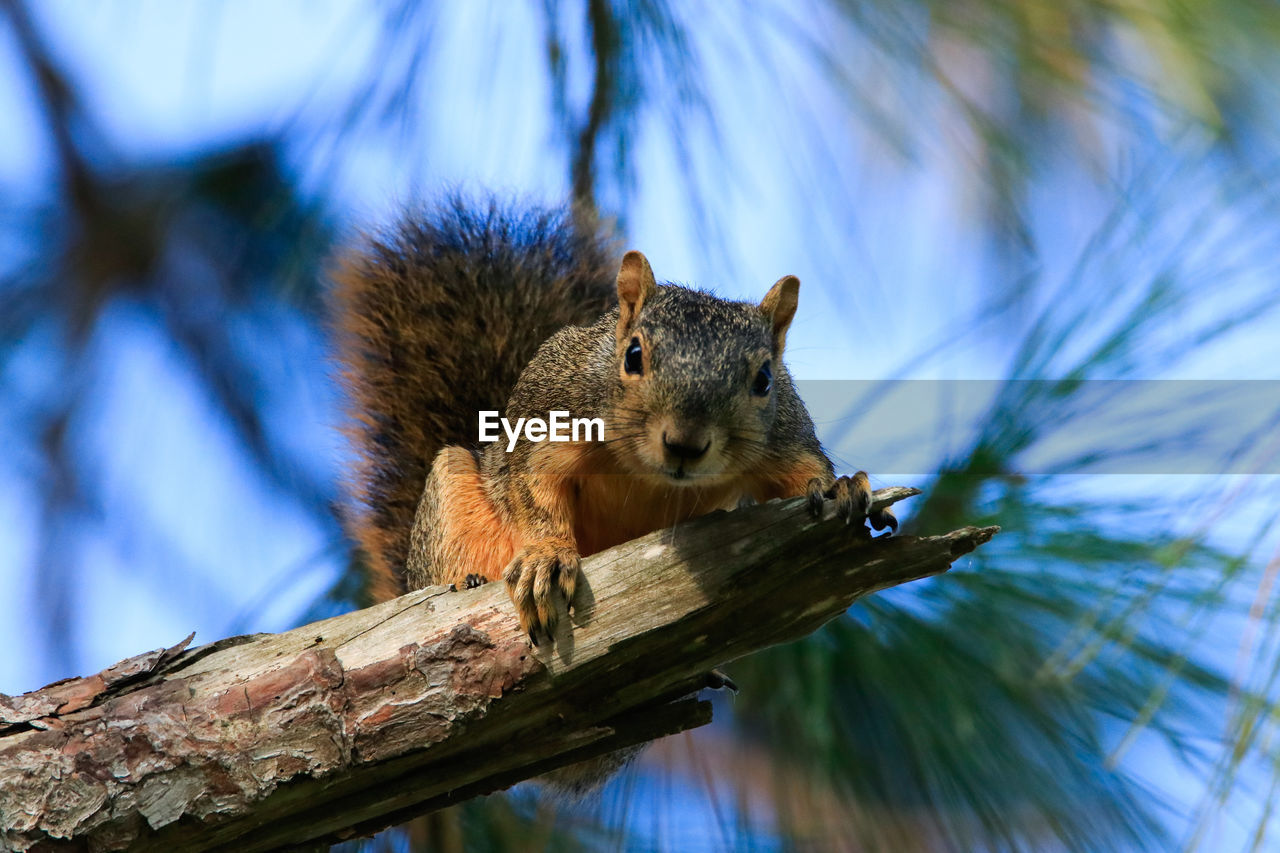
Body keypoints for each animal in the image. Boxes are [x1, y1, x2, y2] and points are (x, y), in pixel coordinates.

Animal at [332, 197, 890, 637]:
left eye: (765, 380)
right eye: (633, 355)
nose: (684, 444)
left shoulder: (783, 436)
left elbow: (803, 471)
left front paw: (841, 487)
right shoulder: (547, 418)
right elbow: (534, 492)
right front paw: (547, 555)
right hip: (451, 497)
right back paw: (465, 578)